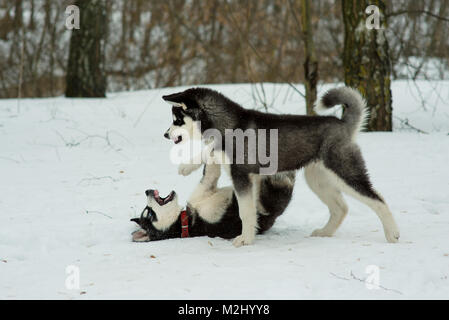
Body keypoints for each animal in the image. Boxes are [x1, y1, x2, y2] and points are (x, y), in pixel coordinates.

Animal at [131, 164, 296, 241]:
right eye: (150, 214)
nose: (147, 191)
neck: (185, 221)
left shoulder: (206, 187)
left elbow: (210, 170)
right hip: (271, 201)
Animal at [163, 87, 400, 248]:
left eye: (177, 119)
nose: (165, 134)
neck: (229, 124)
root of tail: (342, 123)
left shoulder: (241, 176)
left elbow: (245, 212)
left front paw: (244, 240)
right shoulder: (251, 178)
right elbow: (212, 153)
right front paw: (188, 165)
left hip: (344, 171)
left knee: (377, 199)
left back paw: (393, 234)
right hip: (318, 179)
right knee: (341, 208)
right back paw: (325, 232)